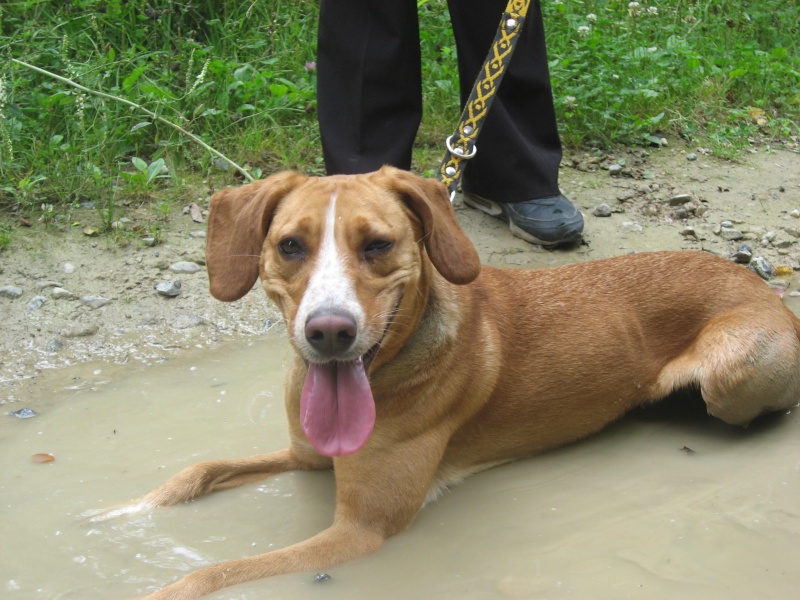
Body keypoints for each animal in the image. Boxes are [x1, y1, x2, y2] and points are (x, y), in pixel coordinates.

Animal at [119, 166, 800, 596]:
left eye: (378, 244)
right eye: (290, 245)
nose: (330, 331)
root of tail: (760, 285)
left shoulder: (362, 531)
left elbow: (212, 573)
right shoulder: (306, 456)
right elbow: (198, 471)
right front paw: (118, 512)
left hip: (732, 375)